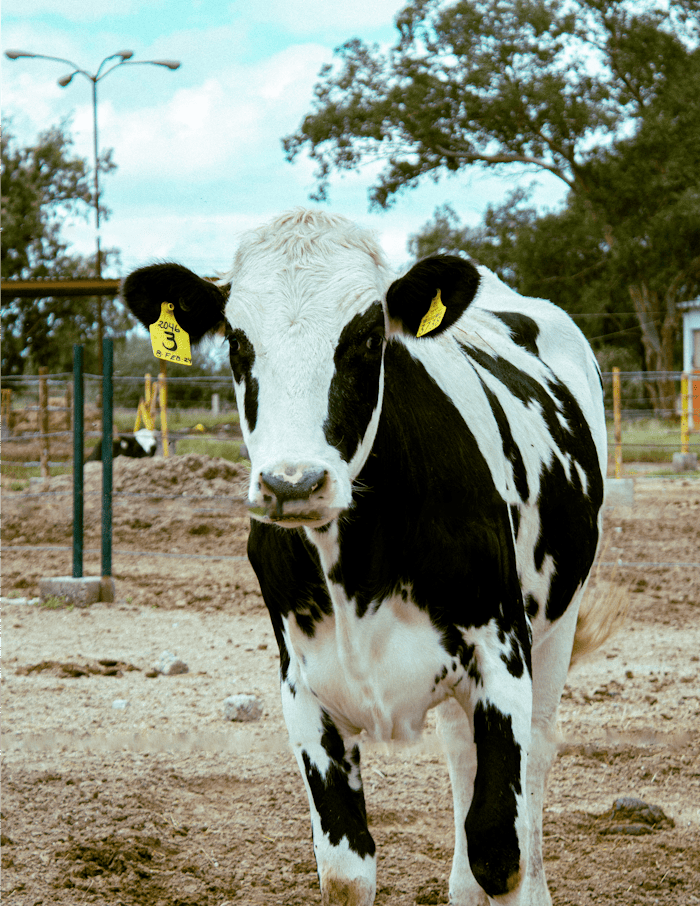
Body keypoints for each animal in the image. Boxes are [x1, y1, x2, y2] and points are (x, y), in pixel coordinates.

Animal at [122, 209, 610, 906]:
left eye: (369, 338)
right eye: (238, 344)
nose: (293, 482)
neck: (357, 571)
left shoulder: (501, 656)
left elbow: (500, 847)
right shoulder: (302, 687)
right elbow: (345, 871)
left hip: (556, 625)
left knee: (534, 758)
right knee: (461, 754)